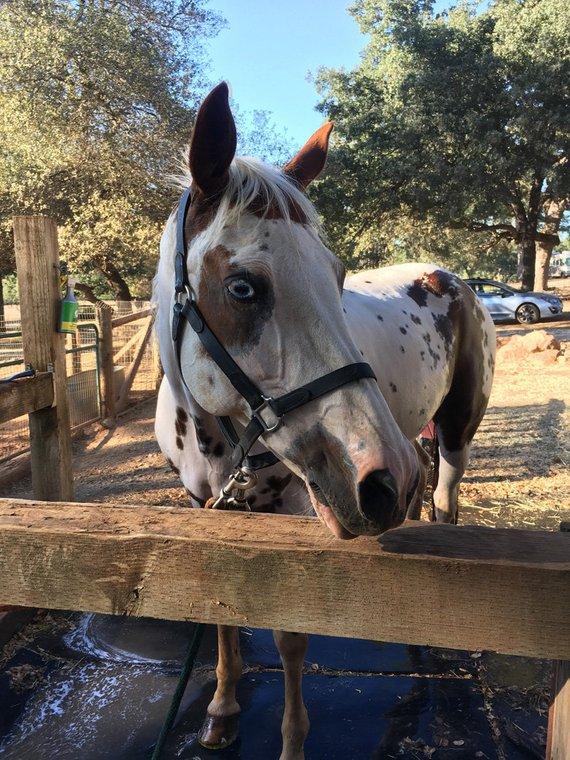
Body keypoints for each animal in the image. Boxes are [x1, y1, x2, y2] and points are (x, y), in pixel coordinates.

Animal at [153, 82, 496, 760]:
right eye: (242, 287)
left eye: (337, 277)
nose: (380, 481)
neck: (217, 439)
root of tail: (454, 278)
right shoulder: (204, 505)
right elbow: (222, 608)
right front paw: (222, 709)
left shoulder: (295, 509)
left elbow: (291, 634)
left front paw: (290, 740)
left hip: (452, 434)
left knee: (445, 502)